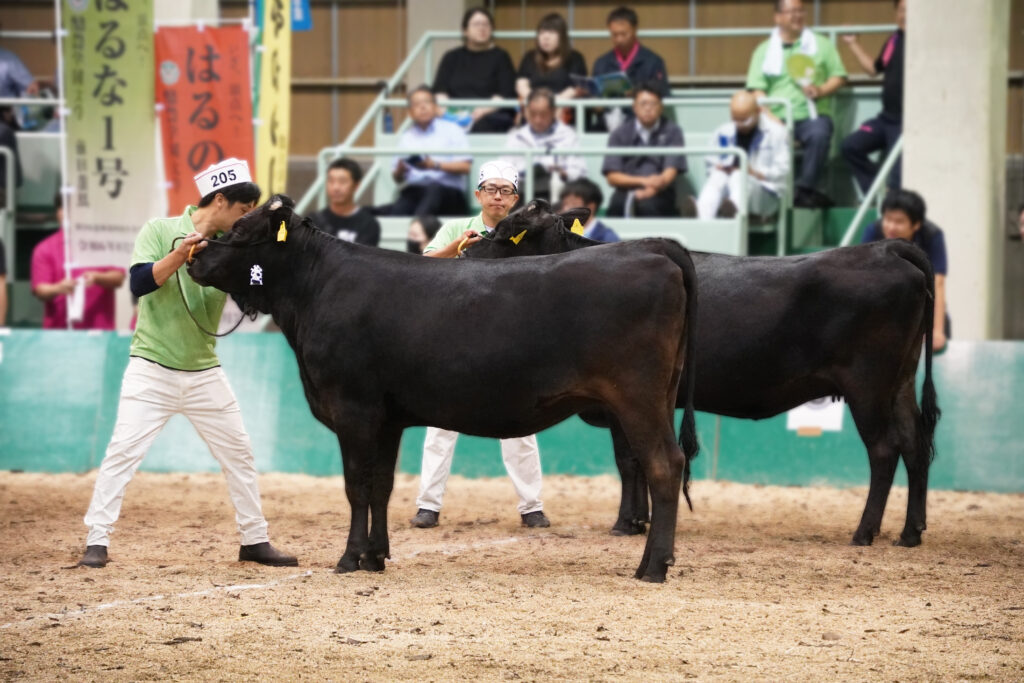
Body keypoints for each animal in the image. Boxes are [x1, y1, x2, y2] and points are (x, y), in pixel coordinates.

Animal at [188, 194, 700, 585]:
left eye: (239, 230)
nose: (193, 256)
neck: (317, 289)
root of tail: (653, 249)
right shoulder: (387, 418)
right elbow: (382, 486)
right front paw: (376, 556)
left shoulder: (353, 408)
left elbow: (356, 486)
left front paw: (350, 558)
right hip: (657, 394)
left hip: (637, 397)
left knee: (664, 465)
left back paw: (653, 567)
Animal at [468, 200, 937, 548]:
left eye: (508, 229)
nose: (467, 249)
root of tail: (885, 248)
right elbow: (637, 460)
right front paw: (640, 519)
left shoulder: (620, 397)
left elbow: (629, 459)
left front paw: (627, 522)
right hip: (900, 381)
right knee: (915, 444)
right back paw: (910, 533)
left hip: (867, 383)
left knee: (884, 449)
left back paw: (864, 532)